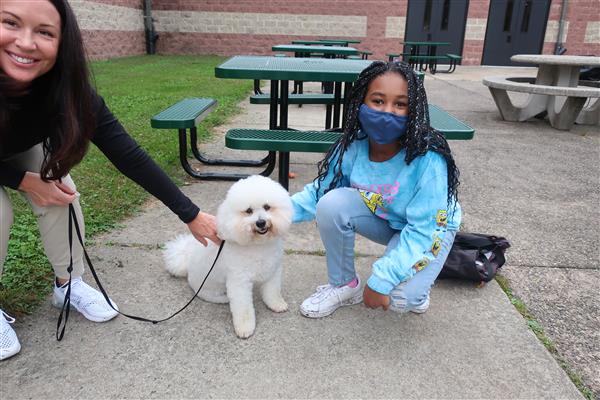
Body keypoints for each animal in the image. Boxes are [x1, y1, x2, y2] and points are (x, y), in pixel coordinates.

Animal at [163, 175, 294, 338]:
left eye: (267, 207)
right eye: (248, 211)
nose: (261, 222)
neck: (257, 244)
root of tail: (188, 261)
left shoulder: (272, 271)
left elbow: (273, 292)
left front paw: (276, 304)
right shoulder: (239, 282)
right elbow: (243, 308)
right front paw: (245, 328)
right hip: (209, 288)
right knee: (209, 296)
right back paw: (223, 299)